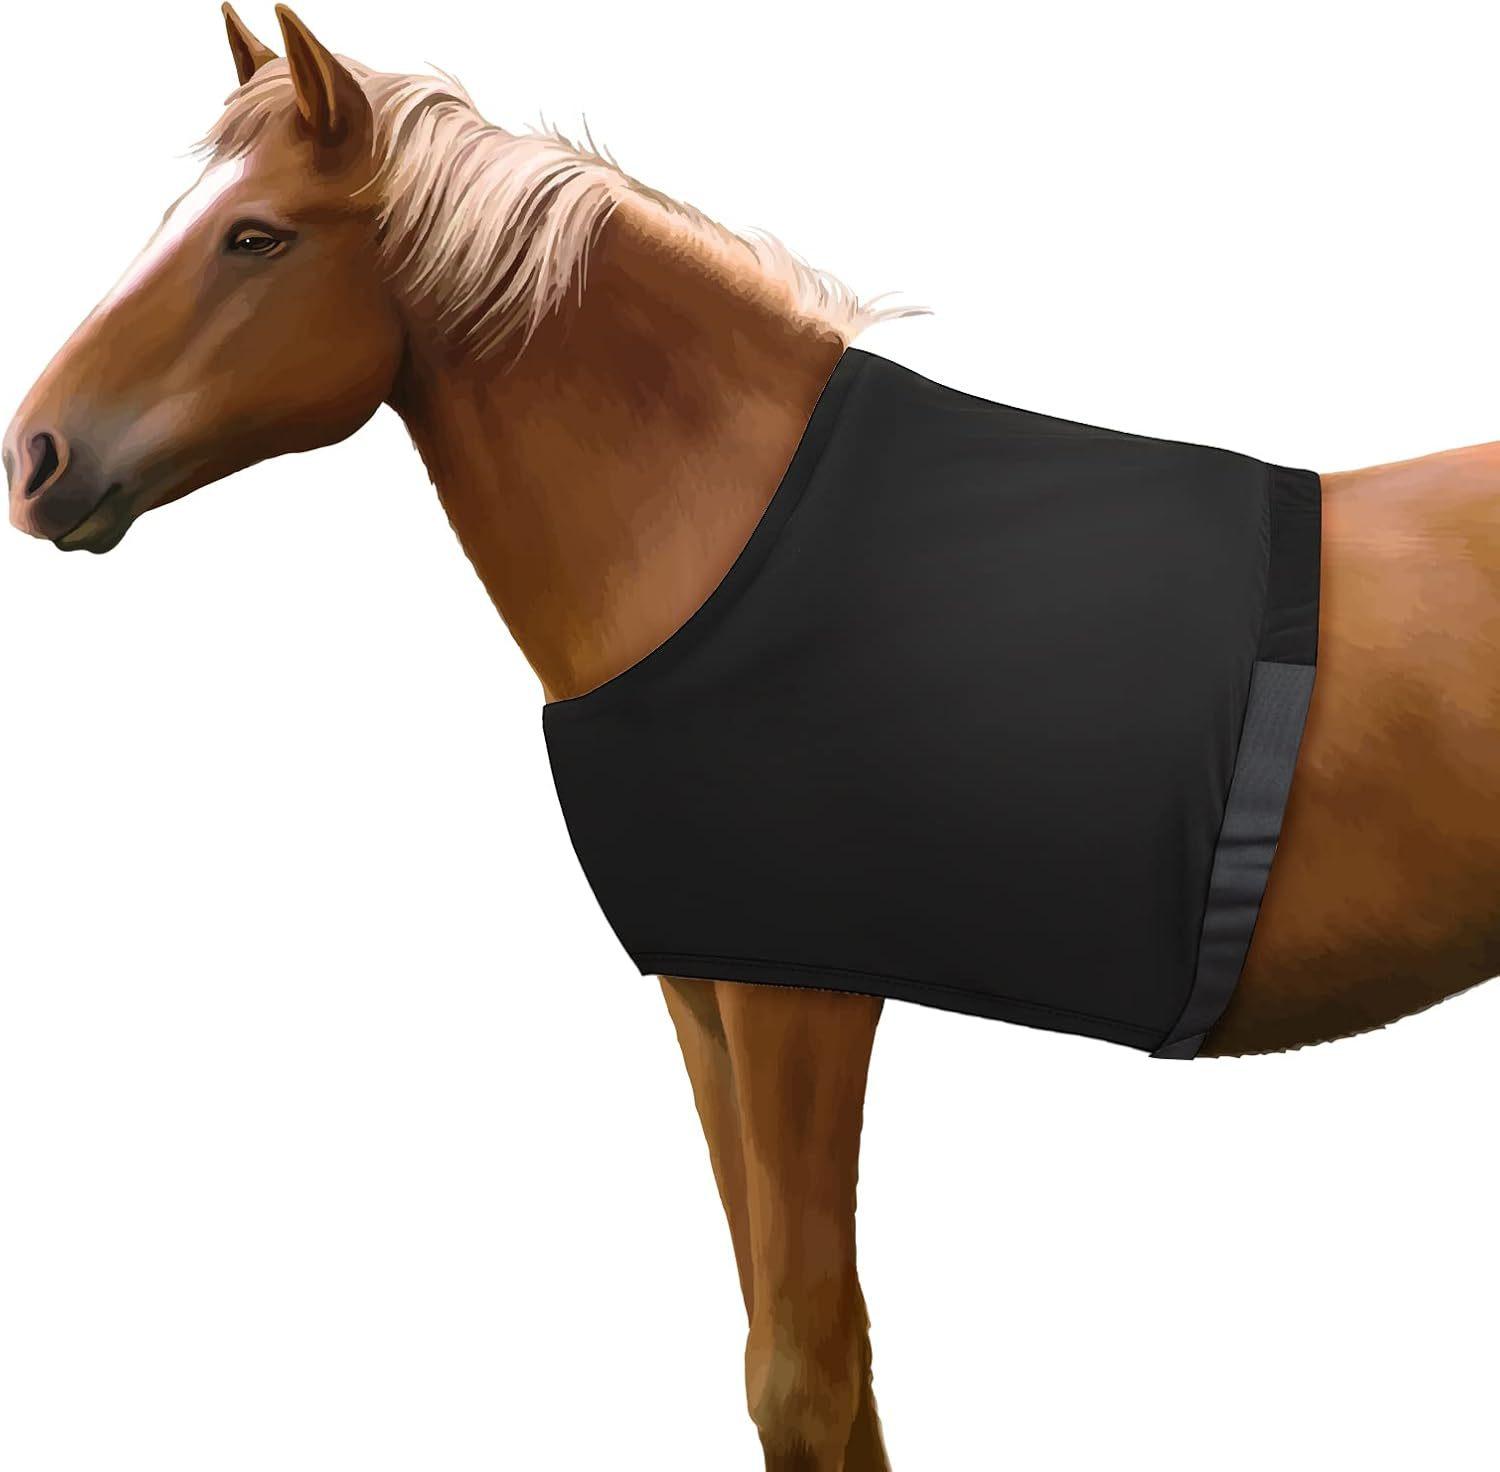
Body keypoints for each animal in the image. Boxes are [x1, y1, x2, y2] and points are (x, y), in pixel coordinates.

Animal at [7, 7, 1500, 1469]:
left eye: (254, 236)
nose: (35, 457)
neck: (721, 538)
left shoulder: (803, 1000)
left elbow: (803, 1378)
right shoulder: (706, 997)